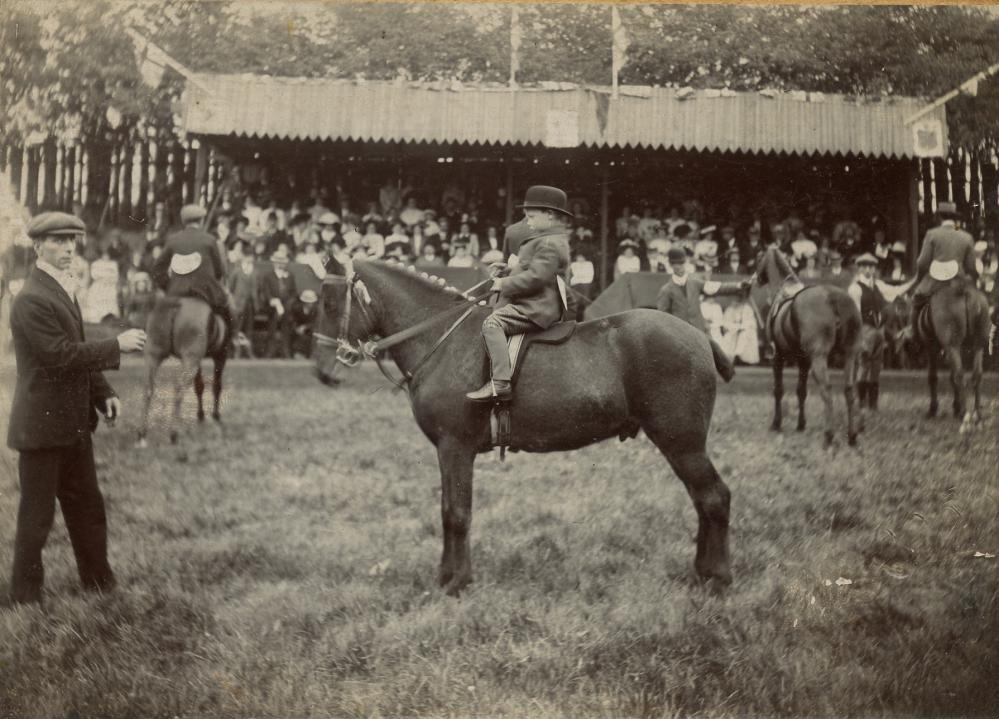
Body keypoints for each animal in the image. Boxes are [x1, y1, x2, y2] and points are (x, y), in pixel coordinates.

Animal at [137, 296, 229, 444]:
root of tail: (176, 303)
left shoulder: (200, 361)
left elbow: (199, 386)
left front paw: (201, 417)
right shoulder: (221, 355)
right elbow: (216, 386)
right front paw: (215, 416)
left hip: (153, 354)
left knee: (148, 388)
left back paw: (142, 433)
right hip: (190, 359)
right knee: (179, 388)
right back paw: (174, 433)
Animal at [314, 262, 736, 592]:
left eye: (330, 303)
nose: (322, 369)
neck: (442, 338)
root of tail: (698, 336)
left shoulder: (455, 447)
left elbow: (456, 512)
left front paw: (456, 581)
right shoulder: (450, 451)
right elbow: (449, 508)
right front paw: (448, 576)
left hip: (682, 442)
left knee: (714, 497)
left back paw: (716, 577)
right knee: (703, 500)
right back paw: (701, 573)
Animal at [752, 249, 864, 450]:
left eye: (759, 259)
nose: (755, 278)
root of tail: (833, 297)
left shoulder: (778, 357)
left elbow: (778, 390)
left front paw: (776, 423)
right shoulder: (803, 360)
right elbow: (801, 391)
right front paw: (801, 424)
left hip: (819, 358)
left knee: (826, 389)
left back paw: (828, 435)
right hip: (850, 355)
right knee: (849, 390)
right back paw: (852, 436)